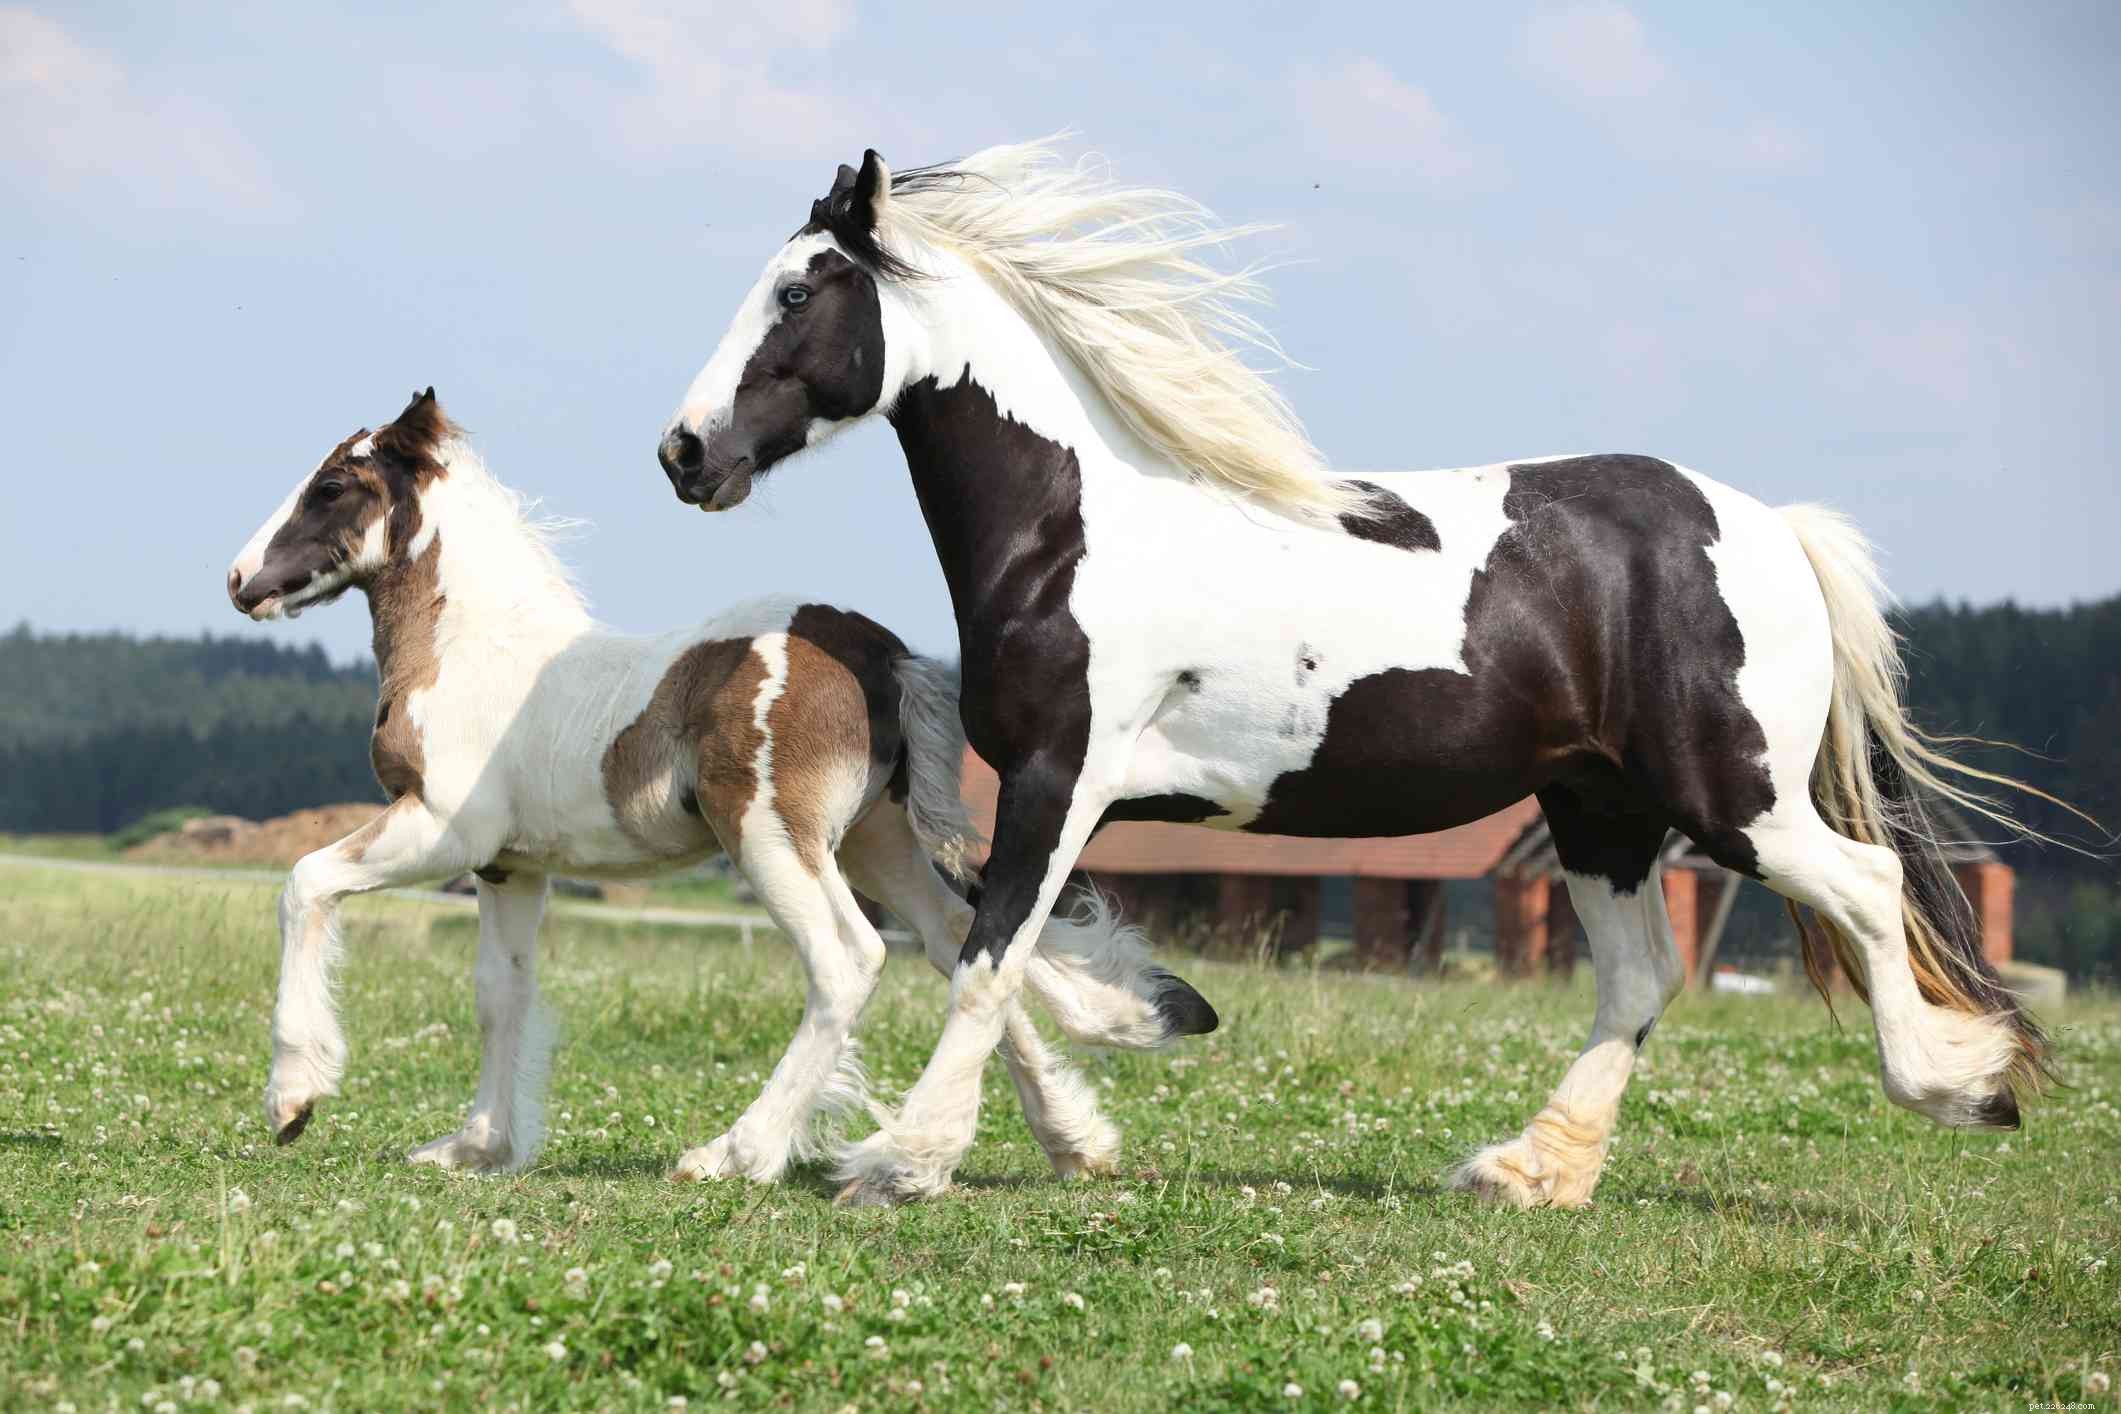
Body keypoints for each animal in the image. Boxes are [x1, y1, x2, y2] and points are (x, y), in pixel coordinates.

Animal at [224, 388, 1215, 1181]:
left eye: (331, 486)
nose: (239, 580)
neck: (476, 652)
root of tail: (881, 652)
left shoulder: (440, 831)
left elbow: (304, 884)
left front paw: (294, 1098)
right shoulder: (512, 867)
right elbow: (500, 995)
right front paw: (475, 1147)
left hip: (771, 836)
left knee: (850, 960)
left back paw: (736, 1153)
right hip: (876, 839)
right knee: (962, 940)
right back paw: (1069, 1142)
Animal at [655, 138, 2066, 1209]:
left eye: (798, 294)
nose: (684, 451)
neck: (1073, 527)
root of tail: (1773, 526)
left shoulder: (1064, 780)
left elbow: (988, 959)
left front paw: (898, 1160)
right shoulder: (1051, 797)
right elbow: (996, 951)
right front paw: (1134, 1032)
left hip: (1733, 799)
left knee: (1872, 888)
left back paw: (1961, 1085)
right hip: (1601, 809)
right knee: (1640, 979)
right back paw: (1530, 1171)